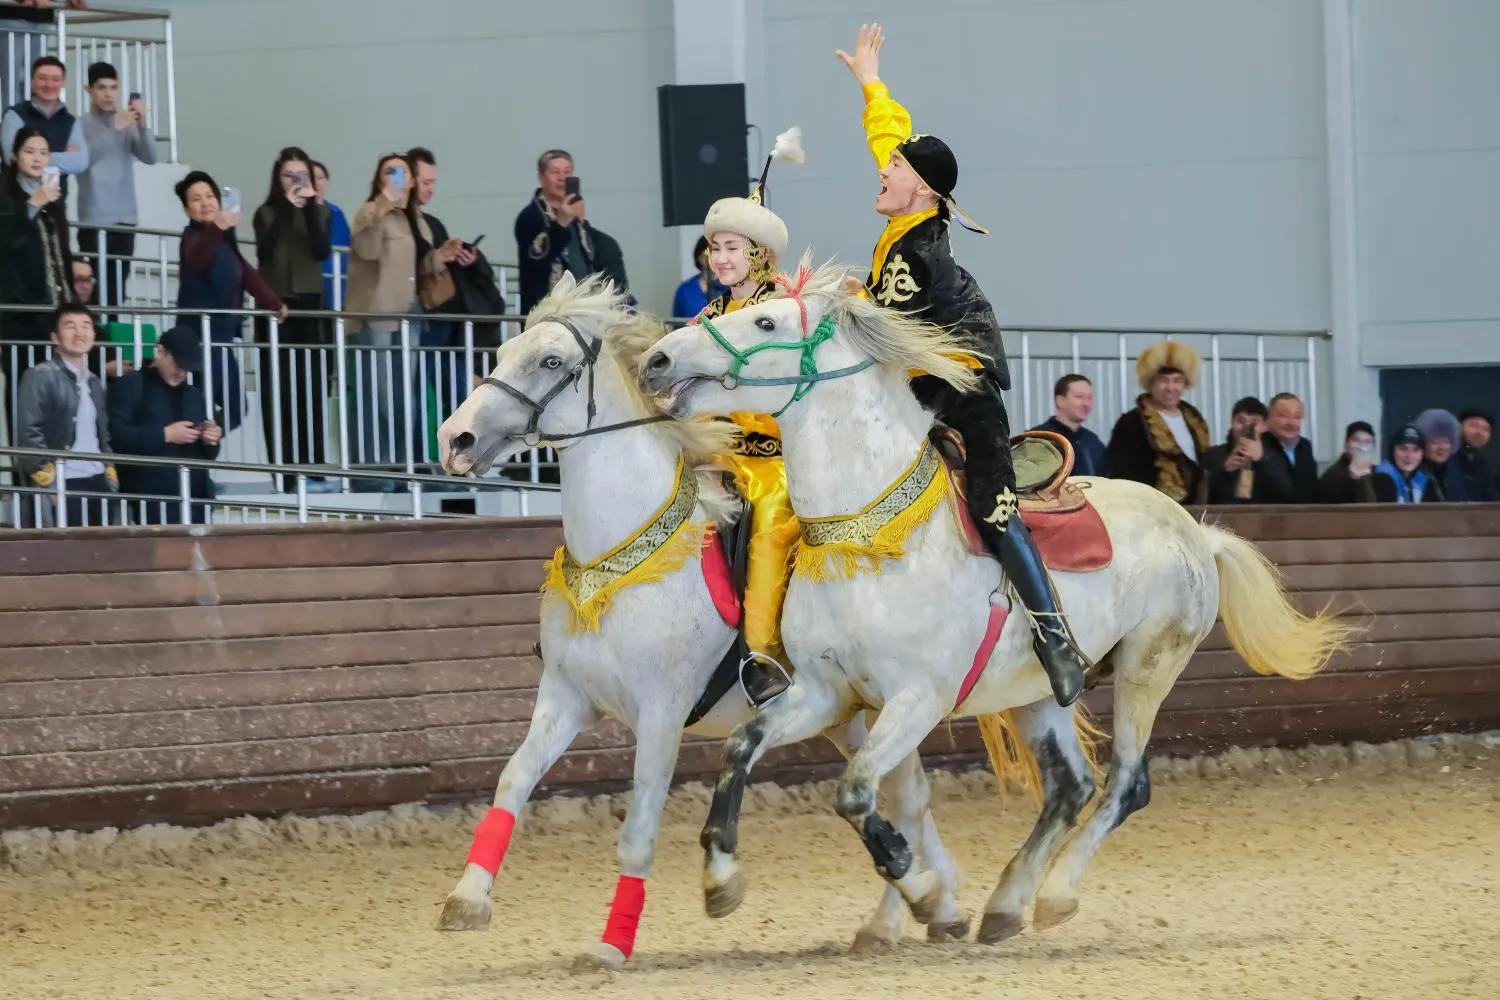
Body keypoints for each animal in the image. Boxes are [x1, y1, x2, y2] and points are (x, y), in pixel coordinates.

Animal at [435, 274, 972, 971]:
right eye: (500, 354)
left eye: (550, 361)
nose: (456, 440)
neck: (621, 555)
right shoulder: (566, 696)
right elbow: (512, 783)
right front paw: (467, 898)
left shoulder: (660, 713)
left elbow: (638, 829)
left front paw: (611, 945)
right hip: (850, 716)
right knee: (907, 796)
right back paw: (935, 907)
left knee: (905, 797)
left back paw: (923, 907)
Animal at [639, 262, 1356, 941]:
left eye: (765, 321)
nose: (659, 359)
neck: (871, 533)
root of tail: (1197, 532)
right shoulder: (823, 693)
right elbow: (743, 749)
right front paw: (721, 876)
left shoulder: (917, 699)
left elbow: (855, 792)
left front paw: (919, 886)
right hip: (1036, 693)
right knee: (1071, 786)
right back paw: (1008, 904)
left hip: (1147, 670)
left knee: (1126, 783)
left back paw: (1056, 894)